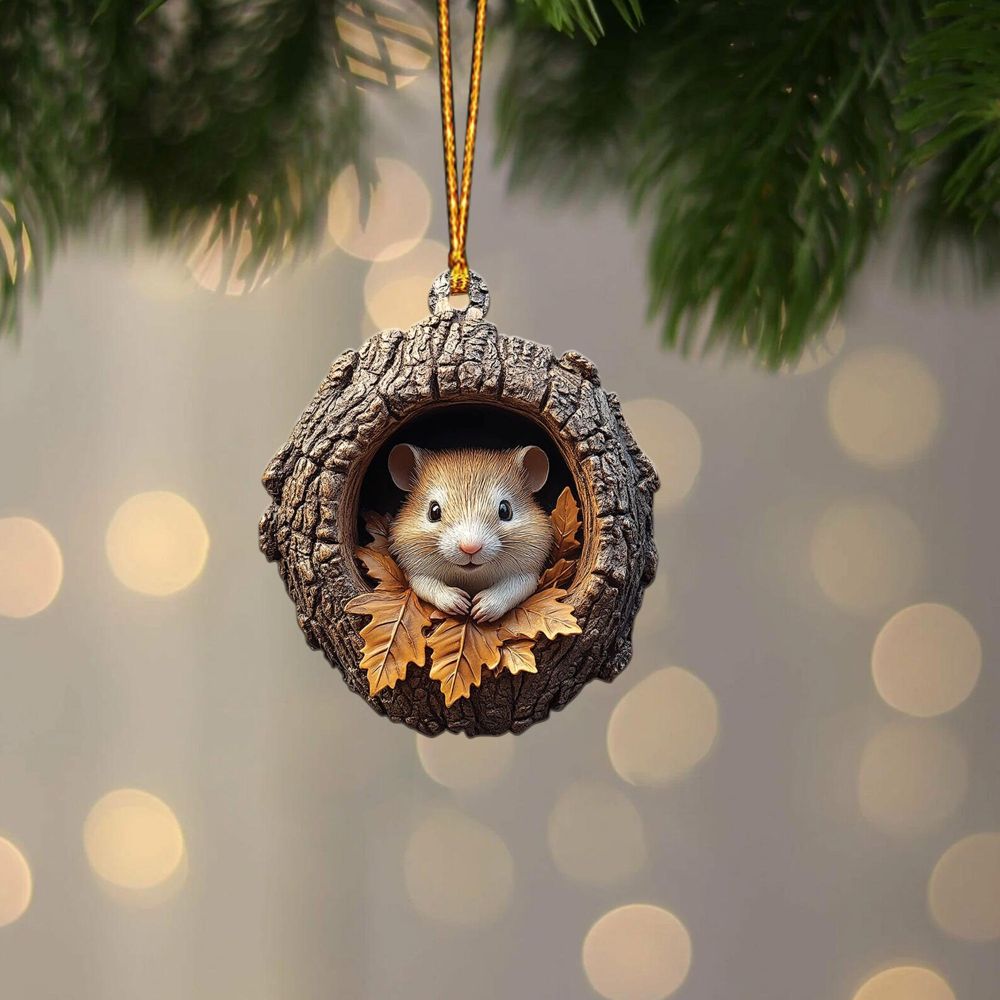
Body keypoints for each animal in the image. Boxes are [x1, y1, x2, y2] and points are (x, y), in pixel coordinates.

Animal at [387, 443, 555, 622]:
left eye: (505, 510)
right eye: (434, 511)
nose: (470, 548)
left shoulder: (529, 574)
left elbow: (515, 588)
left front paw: (481, 608)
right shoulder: (415, 572)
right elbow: (425, 585)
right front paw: (458, 603)